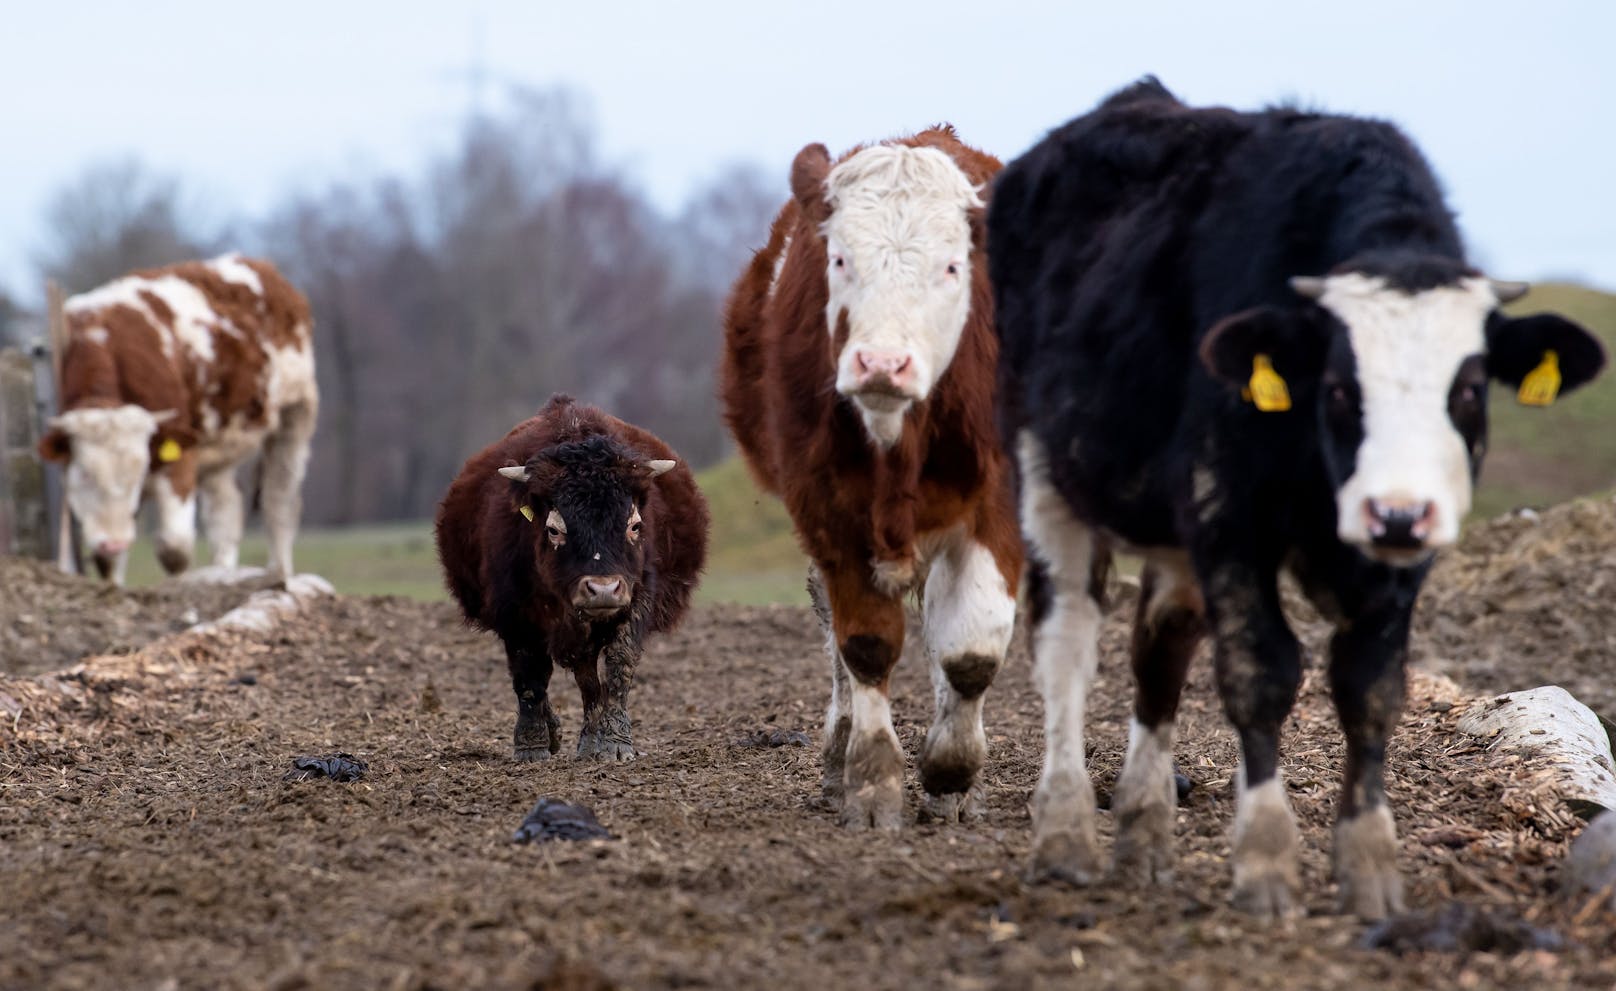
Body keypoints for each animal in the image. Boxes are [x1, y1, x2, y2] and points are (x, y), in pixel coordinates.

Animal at [37, 250, 316, 581]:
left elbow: (175, 550)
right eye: (84, 473)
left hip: (296, 414)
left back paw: (279, 574)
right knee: (226, 513)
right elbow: (109, 563)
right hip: (219, 446)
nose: (114, 542)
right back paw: (223, 574)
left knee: (279, 502)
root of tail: (260, 266)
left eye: (138, 472)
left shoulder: (180, 455)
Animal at [436, 394, 707, 756]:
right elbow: (529, 675)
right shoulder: (515, 613)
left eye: (635, 526)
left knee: (588, 677)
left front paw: (614, 741)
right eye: (554, 530)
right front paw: (532, 744)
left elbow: (619, 665)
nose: (603, 589)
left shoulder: (638, 596)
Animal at [723, 127, 1021, 827]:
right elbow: (863, 643)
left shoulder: (999, 502)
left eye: (952, 266)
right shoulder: (827, 509)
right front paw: (871, 783)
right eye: (840, 260)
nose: (882, 362)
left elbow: (971, 650)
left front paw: (952, 771)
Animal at [982, 81, 1603, 924]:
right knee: (1066, 640)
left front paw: (1369, 867)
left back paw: (1143, 833)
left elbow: (1370, 686)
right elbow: (1263, 671)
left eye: (1471, 388)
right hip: (1045, 470)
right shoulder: (1226, 513)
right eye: (1338, 387)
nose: (1396, 513)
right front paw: (1266, 861)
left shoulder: (1395, 558)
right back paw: (1066, 833)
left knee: (1159, 651)